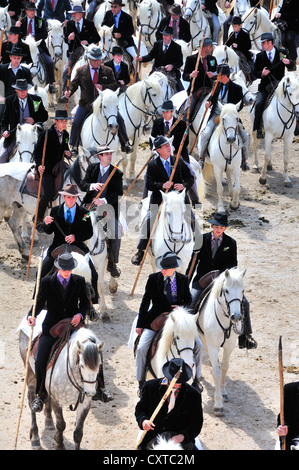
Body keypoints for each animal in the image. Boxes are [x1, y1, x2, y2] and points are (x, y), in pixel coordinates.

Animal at [197, 268, 246, 414]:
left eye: (243, 290)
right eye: (226, 291)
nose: (236, 317)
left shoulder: (229, 346)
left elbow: (224, 367)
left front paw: (223, 393)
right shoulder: (213, 346)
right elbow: (217, 373)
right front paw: (218, 404)